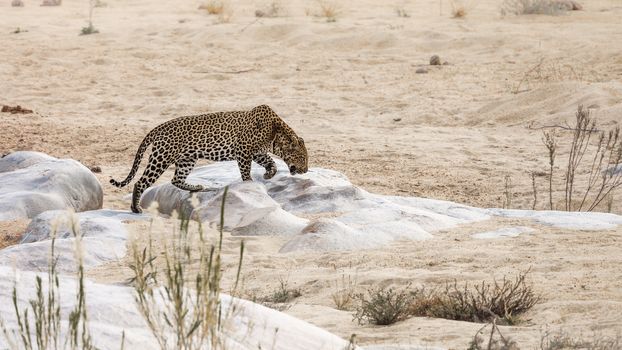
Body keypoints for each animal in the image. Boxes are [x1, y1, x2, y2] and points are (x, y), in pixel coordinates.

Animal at [111, 104, 310, 213]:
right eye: (302, 157)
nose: (306, 169)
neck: (277, 134)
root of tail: (158, 128)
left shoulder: (258, 152)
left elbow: (271, 162)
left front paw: (269, 174)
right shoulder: (243, 150)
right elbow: (246, 170)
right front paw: (250, 183)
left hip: (187, 159)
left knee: (176, 179)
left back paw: (197, 187)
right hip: (162, 157)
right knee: (141, 182)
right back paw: (136, 208)